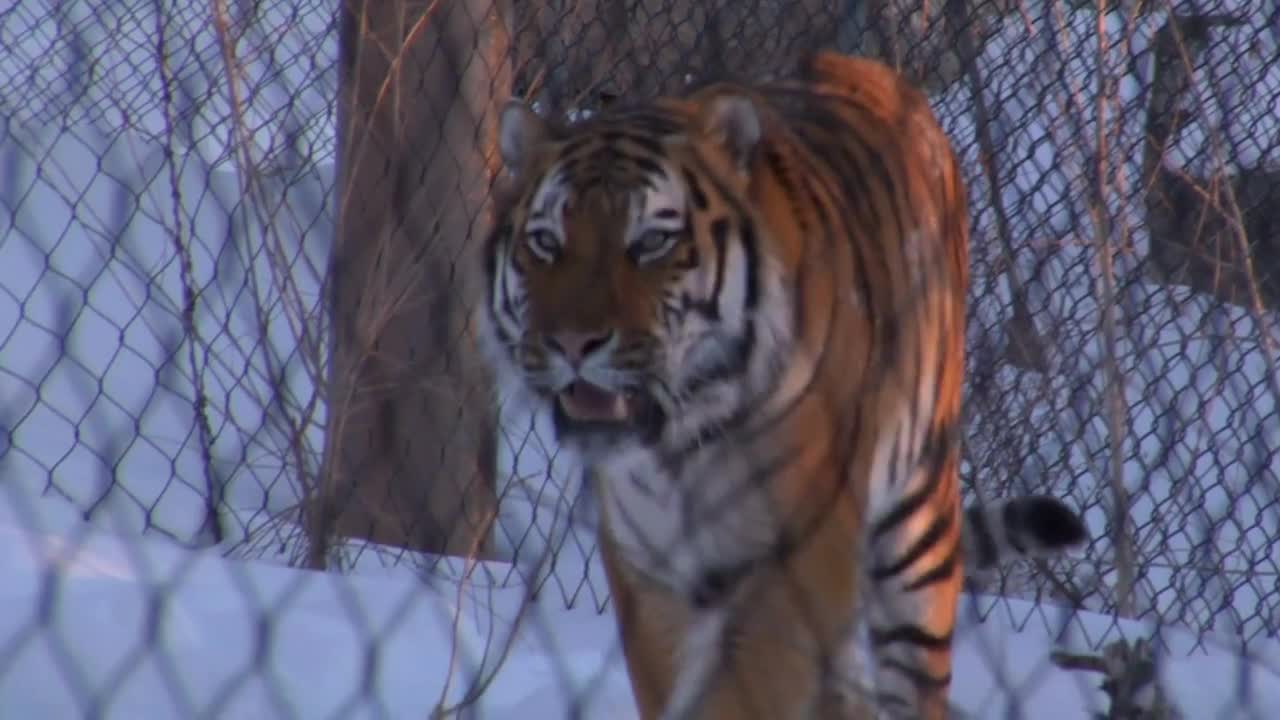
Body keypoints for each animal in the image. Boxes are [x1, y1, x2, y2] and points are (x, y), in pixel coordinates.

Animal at [476, 51, 1085, 717]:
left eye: (652, 242)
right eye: (546, 243)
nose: (572, 344)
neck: (678, 442)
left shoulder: (794, 558)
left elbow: (738, 692)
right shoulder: (651, 571)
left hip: (915, 529)